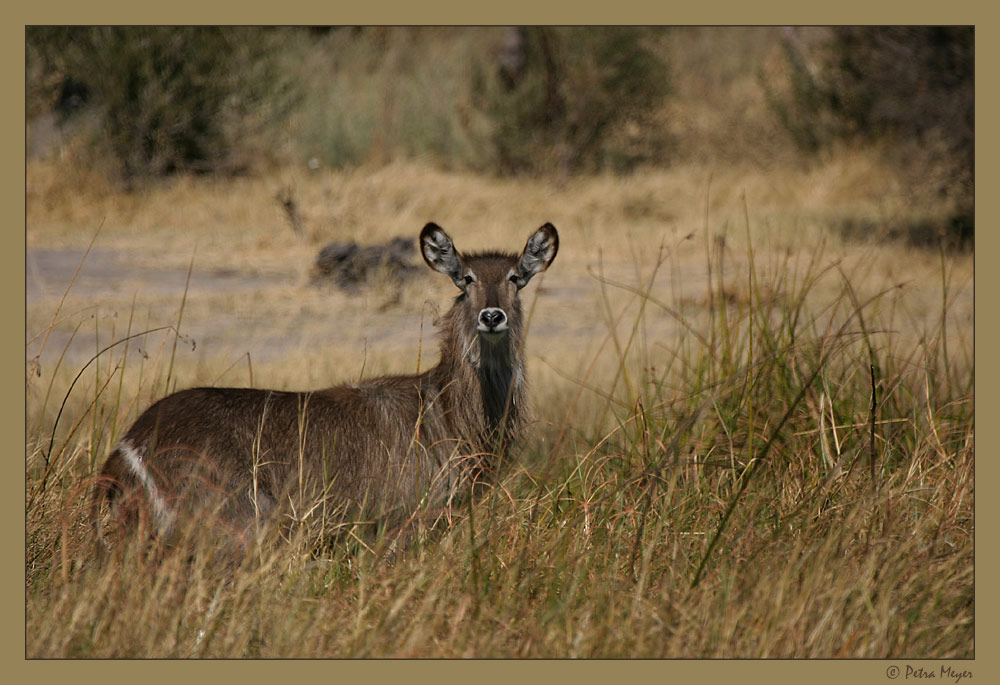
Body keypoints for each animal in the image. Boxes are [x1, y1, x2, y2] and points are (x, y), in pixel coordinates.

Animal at [90, 222, 560, 552]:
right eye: (465, 278)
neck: (443, 411)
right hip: (233, 528)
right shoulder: (401, 522)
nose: (492, 316)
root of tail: (127, 447)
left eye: (516, 277)